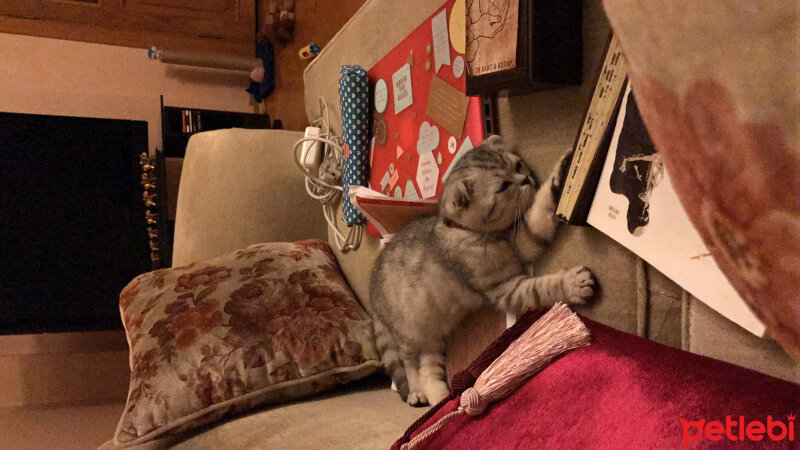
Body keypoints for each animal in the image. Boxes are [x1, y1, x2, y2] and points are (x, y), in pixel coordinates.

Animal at [368, 135, 592, 406]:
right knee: (411, 367)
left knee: (428, 369)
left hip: (433, 338)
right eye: (504, 186)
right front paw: (573, 284)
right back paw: (417, 393)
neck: (484, 235)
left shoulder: (523, 240)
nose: (526, 179)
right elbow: (542, 287)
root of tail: (372, 290)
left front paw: (562, 172)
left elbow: (541, 210)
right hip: (408, 334)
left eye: (518, 165)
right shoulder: (506, 289)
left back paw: (441, 398)